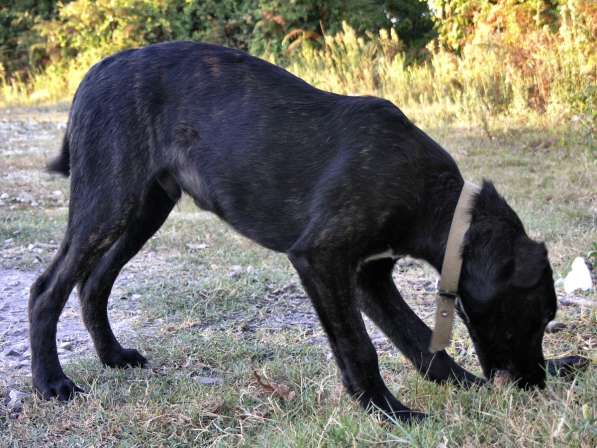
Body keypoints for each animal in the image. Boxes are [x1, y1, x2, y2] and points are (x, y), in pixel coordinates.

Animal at [29, 40, 556, 422]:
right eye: (542, 316)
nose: (536, 386)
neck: (440, 203)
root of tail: (94, 72)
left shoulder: (368, 275)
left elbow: (416, 338)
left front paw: (461, 384)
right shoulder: (321, 259)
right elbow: (360, 347)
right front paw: (391, 413)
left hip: (144, 209)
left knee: (93, 283)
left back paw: (113, 356)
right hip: (107, 202)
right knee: (46, 288)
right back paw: (51, 384)